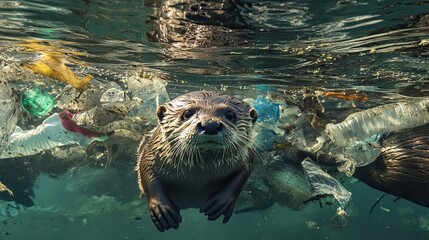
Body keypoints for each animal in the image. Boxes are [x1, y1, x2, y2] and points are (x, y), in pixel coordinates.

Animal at [137, 91, 258, 232]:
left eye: (230, 114)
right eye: (187, 113)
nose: (210, 125)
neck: (198, 175)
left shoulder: (246, 157)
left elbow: (241, 175)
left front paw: (221, 202)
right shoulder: (151, 153)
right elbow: (147, 172)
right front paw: (161, 209)